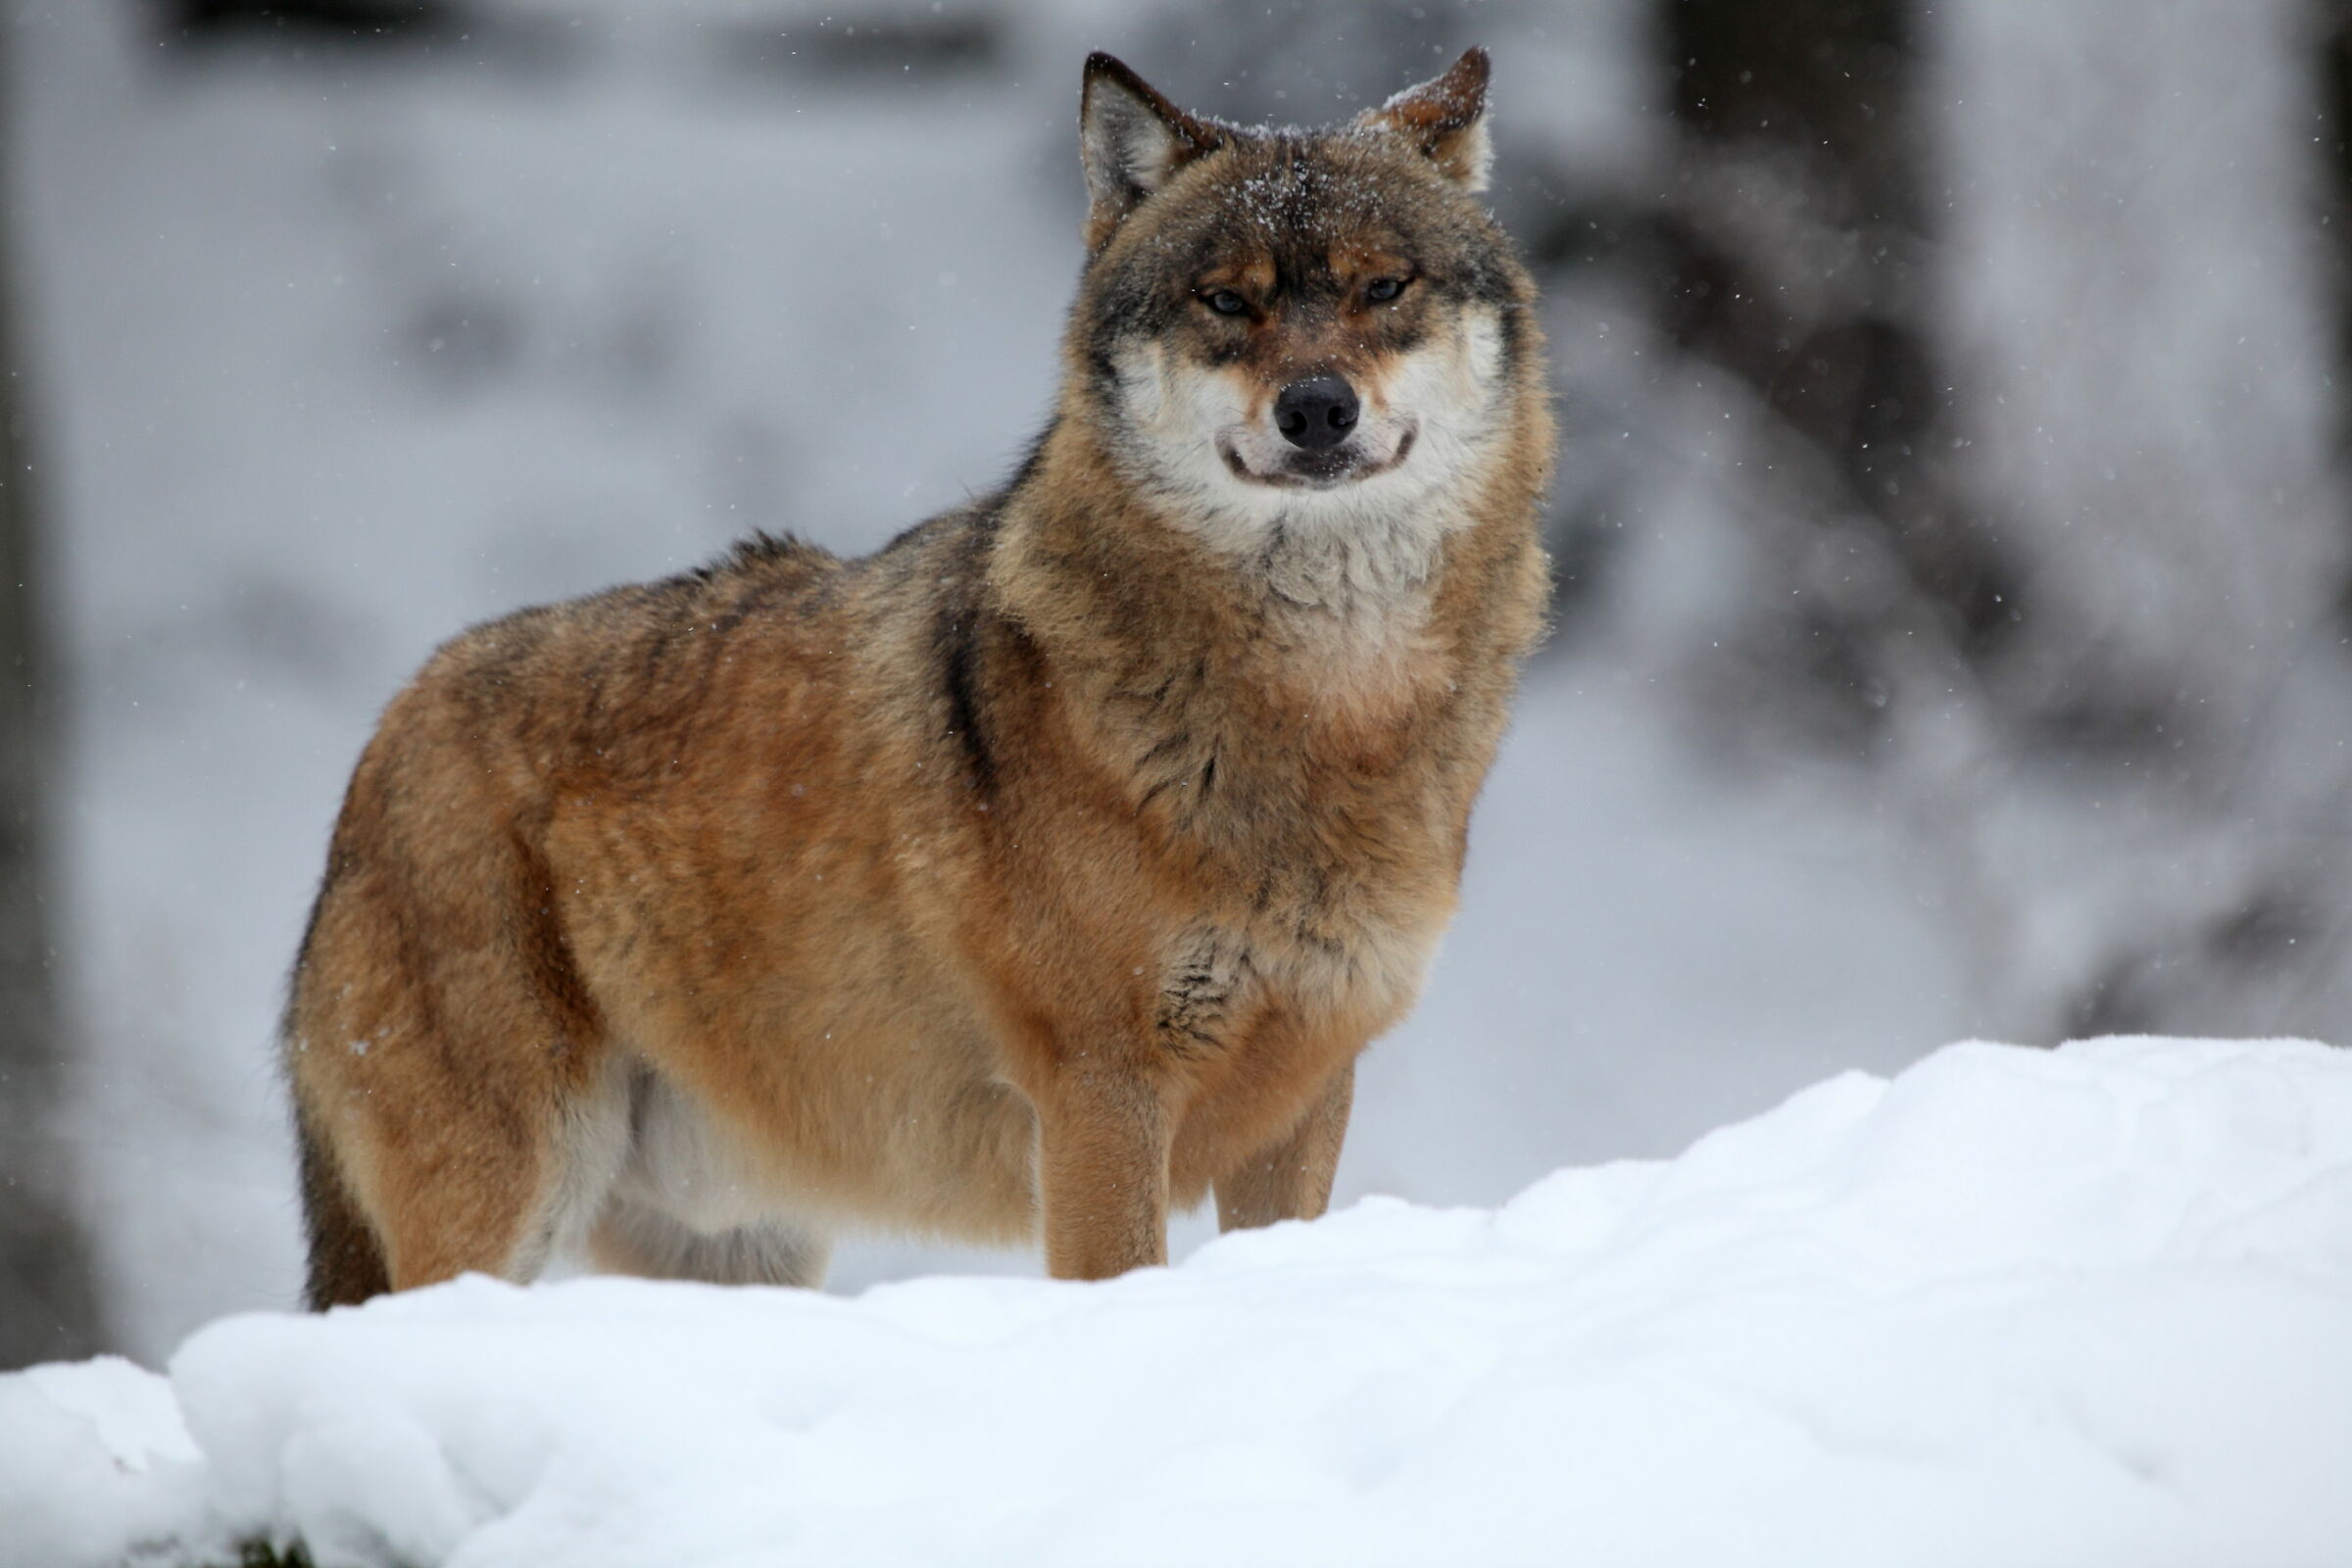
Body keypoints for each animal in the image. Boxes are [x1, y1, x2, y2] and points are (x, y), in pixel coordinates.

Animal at [285, 47, 1553, 1307]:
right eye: (1227, 301)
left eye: (1383, 288)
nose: (1317, 408)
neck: (1328, 707)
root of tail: (384, 736)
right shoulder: (1101, 1089)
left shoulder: (1308, 1092)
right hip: (510, 1201)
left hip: (735, 1253)